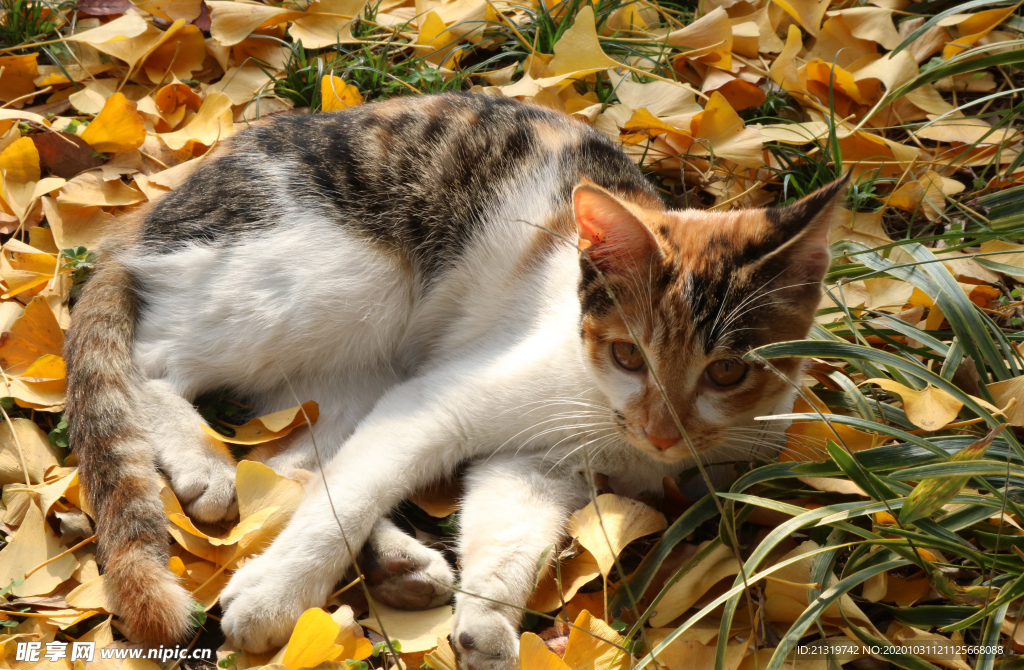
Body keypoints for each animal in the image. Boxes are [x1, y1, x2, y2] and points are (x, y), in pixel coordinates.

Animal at [66, 90, 847, 670]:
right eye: (630, 356)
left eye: (727, 371)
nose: (662, 431)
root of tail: (150, 220)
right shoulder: (439, 401)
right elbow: (352, 496)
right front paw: (272, 597)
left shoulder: (537, 462)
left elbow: (509, 532)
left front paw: (488, 621)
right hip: (347, 278)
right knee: (157, 361)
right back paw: (204, 463)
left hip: (353, 369)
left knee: (290, 463)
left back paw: (400, 564)